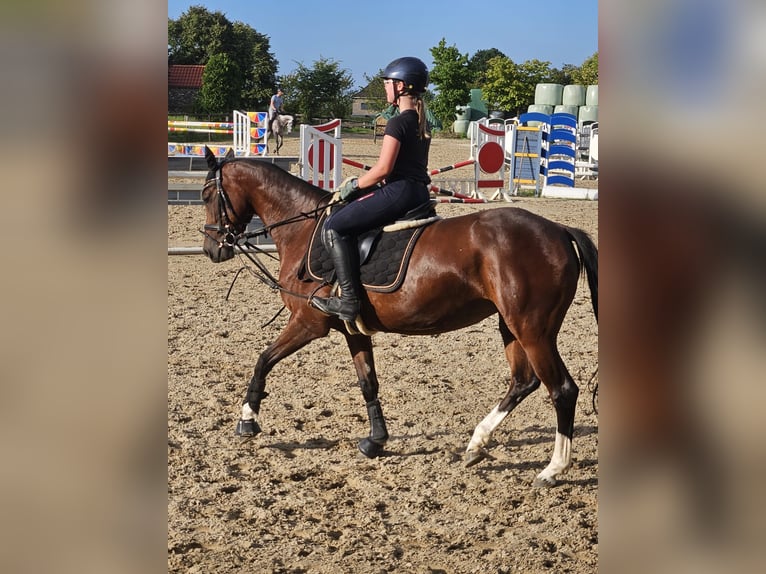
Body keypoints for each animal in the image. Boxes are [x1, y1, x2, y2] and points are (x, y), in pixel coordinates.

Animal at [201, 148, 596, 490]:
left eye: (206, 195)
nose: (211, 249)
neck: (302, 228)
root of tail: (559, 230)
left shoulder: (308, 323)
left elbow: (263, 360)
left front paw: (247, 420)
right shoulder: (352, 328)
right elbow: (368, 383)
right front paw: (376, 441)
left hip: (532, 329)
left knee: (562, 389)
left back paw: (553, 469)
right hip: (511, 326)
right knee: (523, 382)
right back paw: (477, 444)